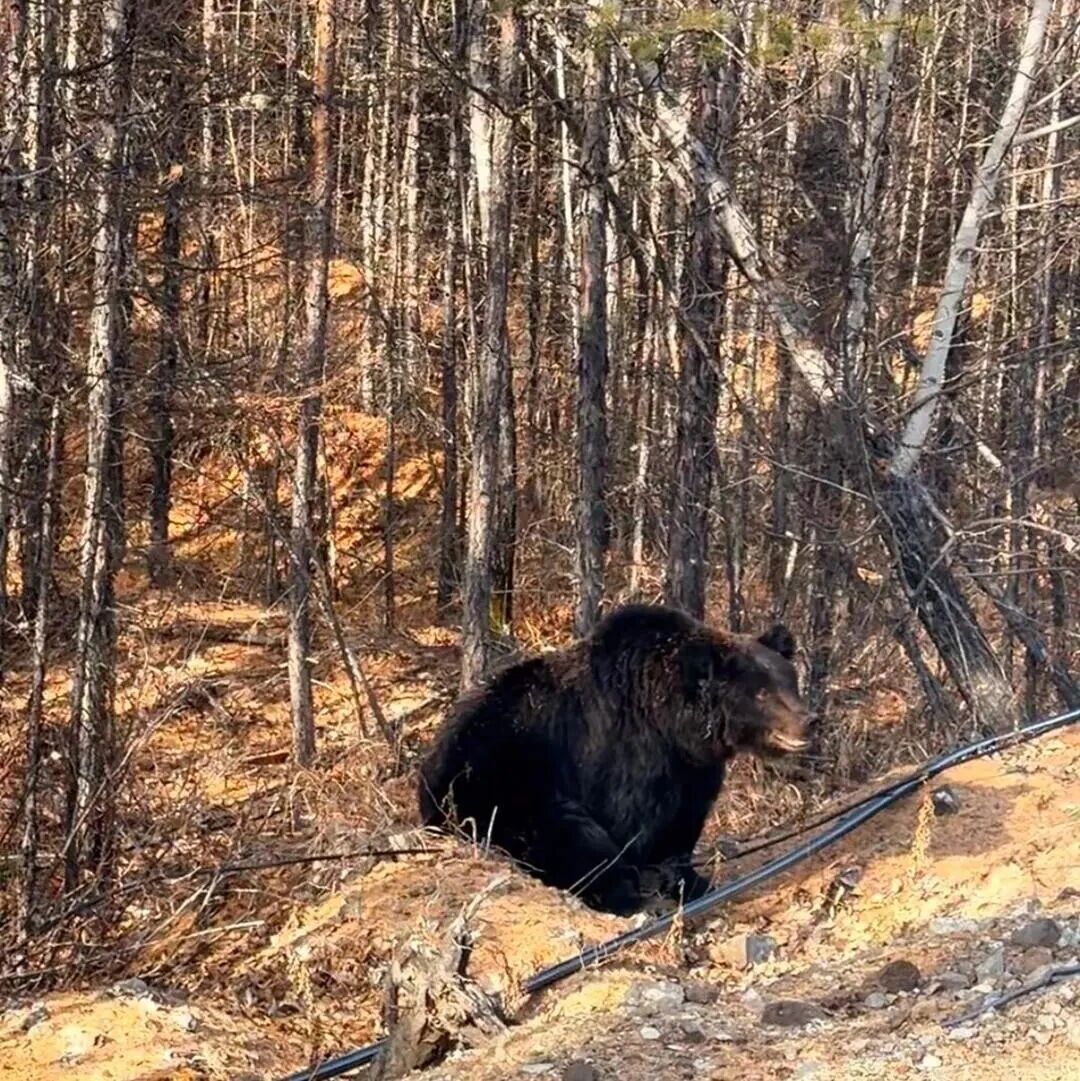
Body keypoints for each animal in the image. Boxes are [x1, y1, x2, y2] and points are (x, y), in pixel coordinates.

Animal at [418, 603, 812, 916]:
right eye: (761, 693)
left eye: (790, 680)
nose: (808, 721)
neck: (674, 727)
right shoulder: (625, 757)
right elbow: (630, 822)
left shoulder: (693, 771)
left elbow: (682, 825)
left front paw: (691, 878)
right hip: (500, 785)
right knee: (568, 834)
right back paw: (620, 890)